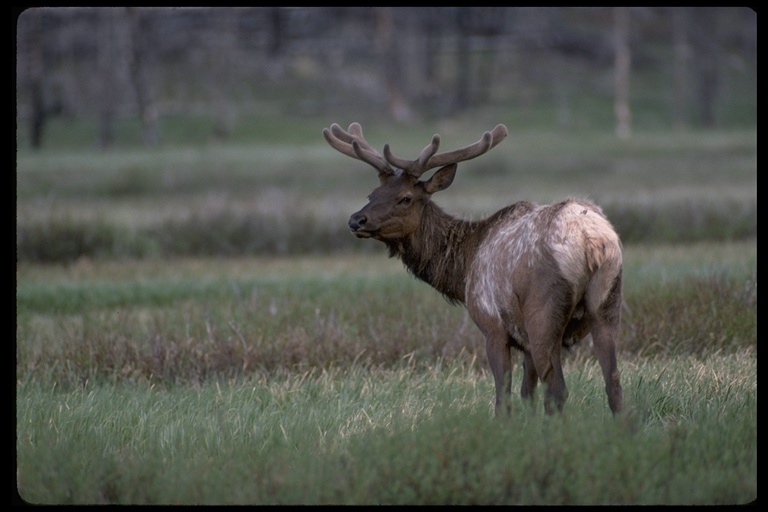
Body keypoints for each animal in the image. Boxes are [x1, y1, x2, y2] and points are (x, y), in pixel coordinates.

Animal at [324, 122, 624, 418]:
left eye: (405, 198)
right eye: (371, 194)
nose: (356, 220)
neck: (465, 268)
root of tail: (591, 241)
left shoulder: (492, 325)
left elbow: (504, 398)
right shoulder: (523, 340)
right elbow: (527, 395)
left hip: (543, 311)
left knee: (558, 391)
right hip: (606, 302)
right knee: (614, 384)